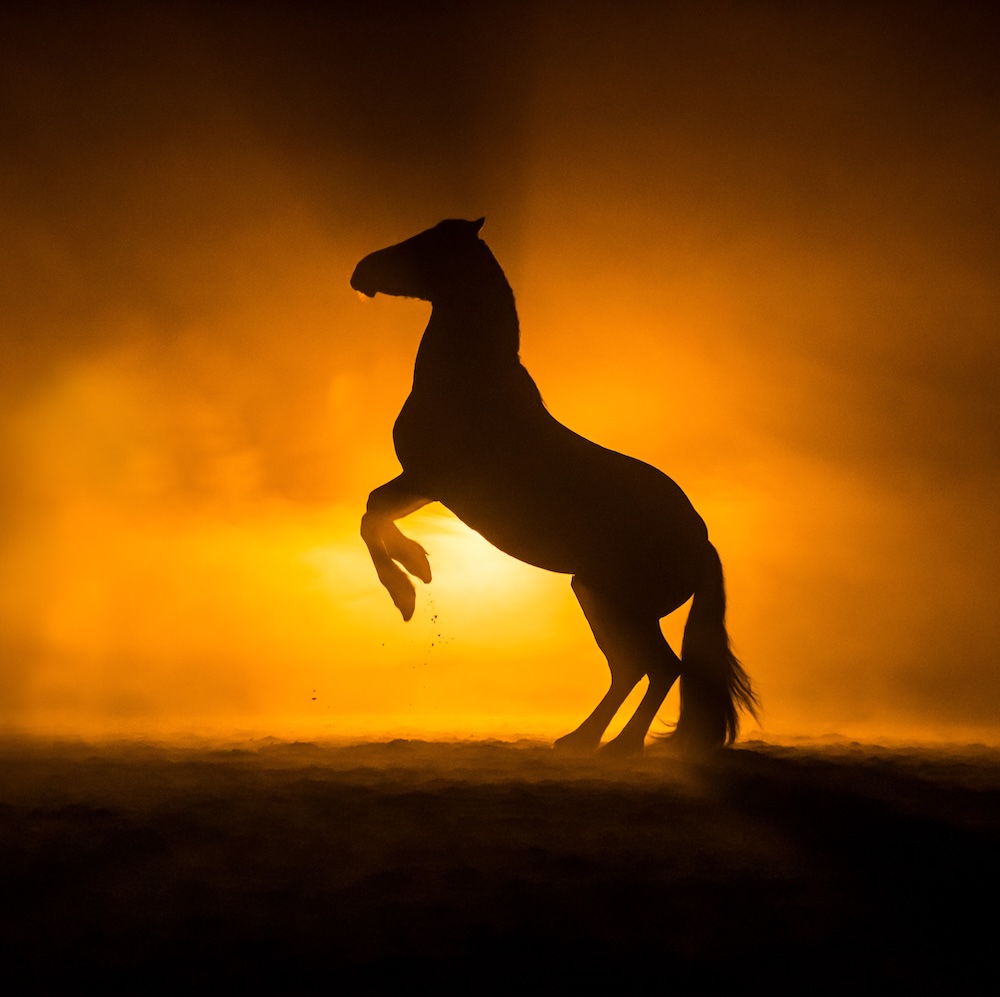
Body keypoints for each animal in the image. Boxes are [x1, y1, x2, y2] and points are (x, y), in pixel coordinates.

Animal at [350, 218, 757, 755]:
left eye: (428, 244)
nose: (362, 271)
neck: (471, 384)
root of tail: (703, 543)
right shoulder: (426, 487)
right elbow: (373, 510)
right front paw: (416, 572)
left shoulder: (428, 479)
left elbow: (371, 515)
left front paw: (408, 587)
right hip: (595, 595)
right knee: (630, 670)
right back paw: (582, 739)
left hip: (624, 605)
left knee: (660, 668)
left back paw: (621, 746)